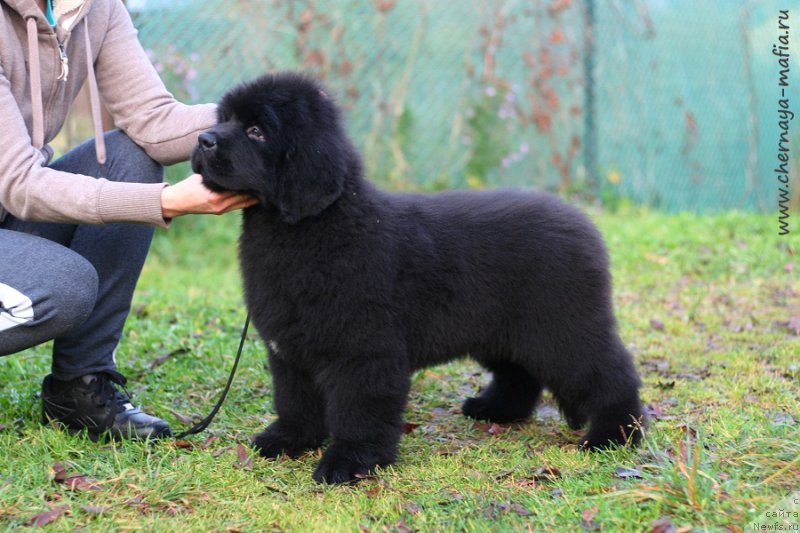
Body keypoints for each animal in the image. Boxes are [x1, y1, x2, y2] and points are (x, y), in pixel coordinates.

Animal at [192, 70, 644, 482]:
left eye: (256, 131)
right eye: (225, 118)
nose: (204, 140)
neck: (312, 227)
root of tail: (583, 221)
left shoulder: (364, 350)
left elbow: (359, 410)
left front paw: (350, 461)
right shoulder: (289, 349)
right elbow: (294, 400)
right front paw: (289, 440)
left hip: (562, 326)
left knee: (610, 372)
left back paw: (614, 435)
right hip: (503, 329)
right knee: (520, 373)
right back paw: (495, 409)